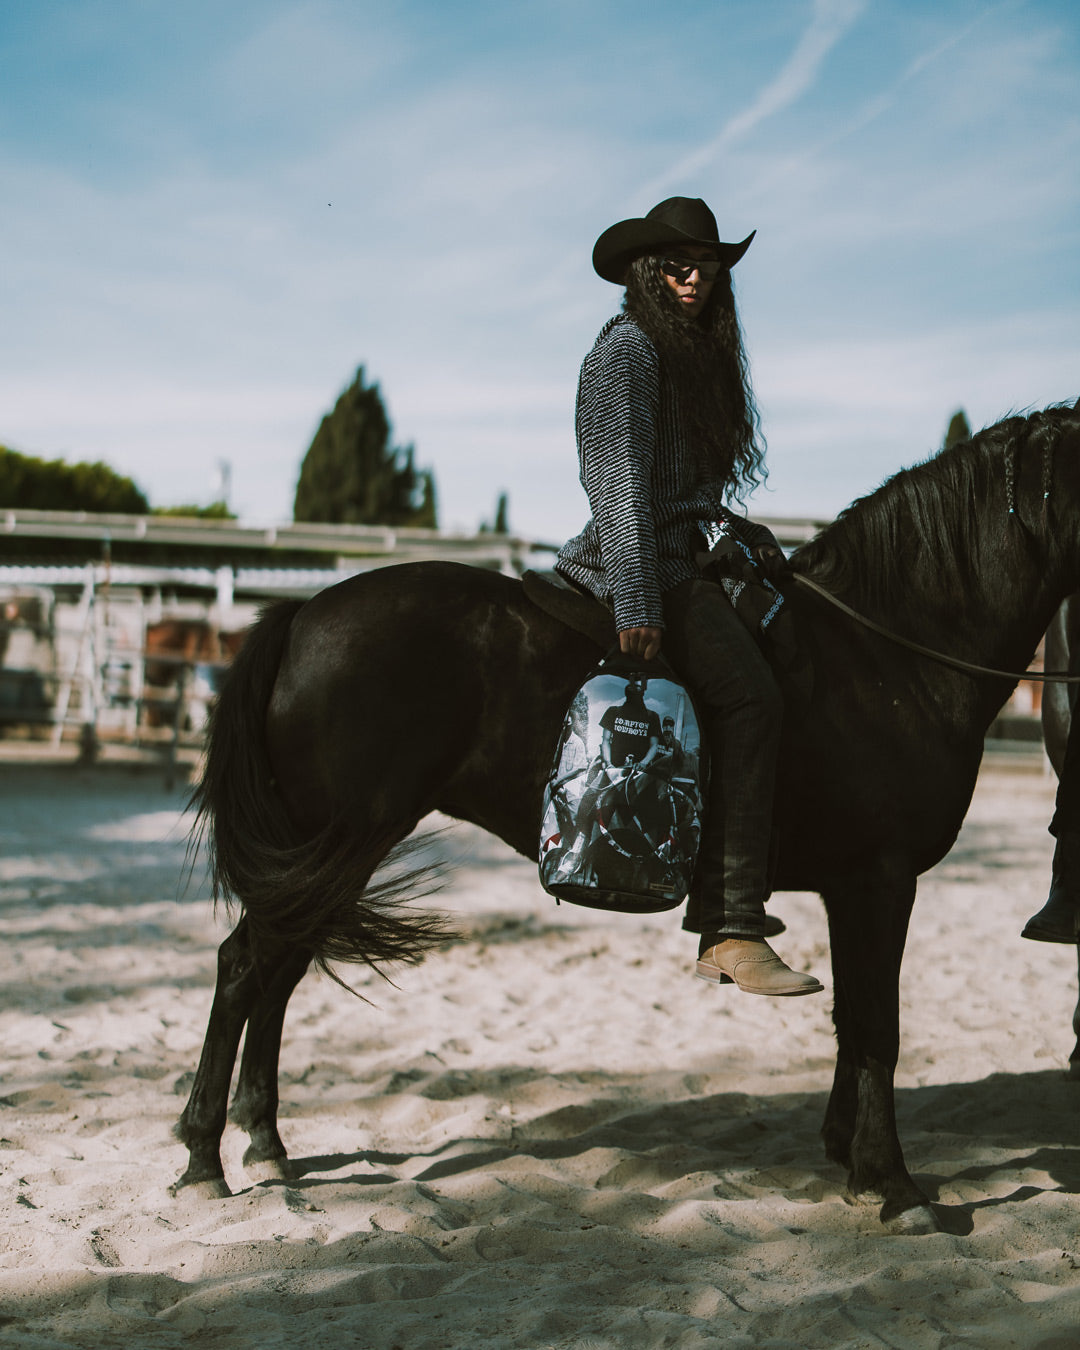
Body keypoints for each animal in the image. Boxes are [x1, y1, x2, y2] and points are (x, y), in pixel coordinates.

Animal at [175, 396, 1080, 1225]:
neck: (884, 652)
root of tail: (303, 614)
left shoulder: (848, 886)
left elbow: (850, 1023)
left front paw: (846, 1153)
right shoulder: (880, 880)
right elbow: (877, 1027)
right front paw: (893, 1184)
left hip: (324, 852)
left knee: (278, 972)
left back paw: (266, 1142)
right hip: (342, 840)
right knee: (245, 966)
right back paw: (202, 1157)